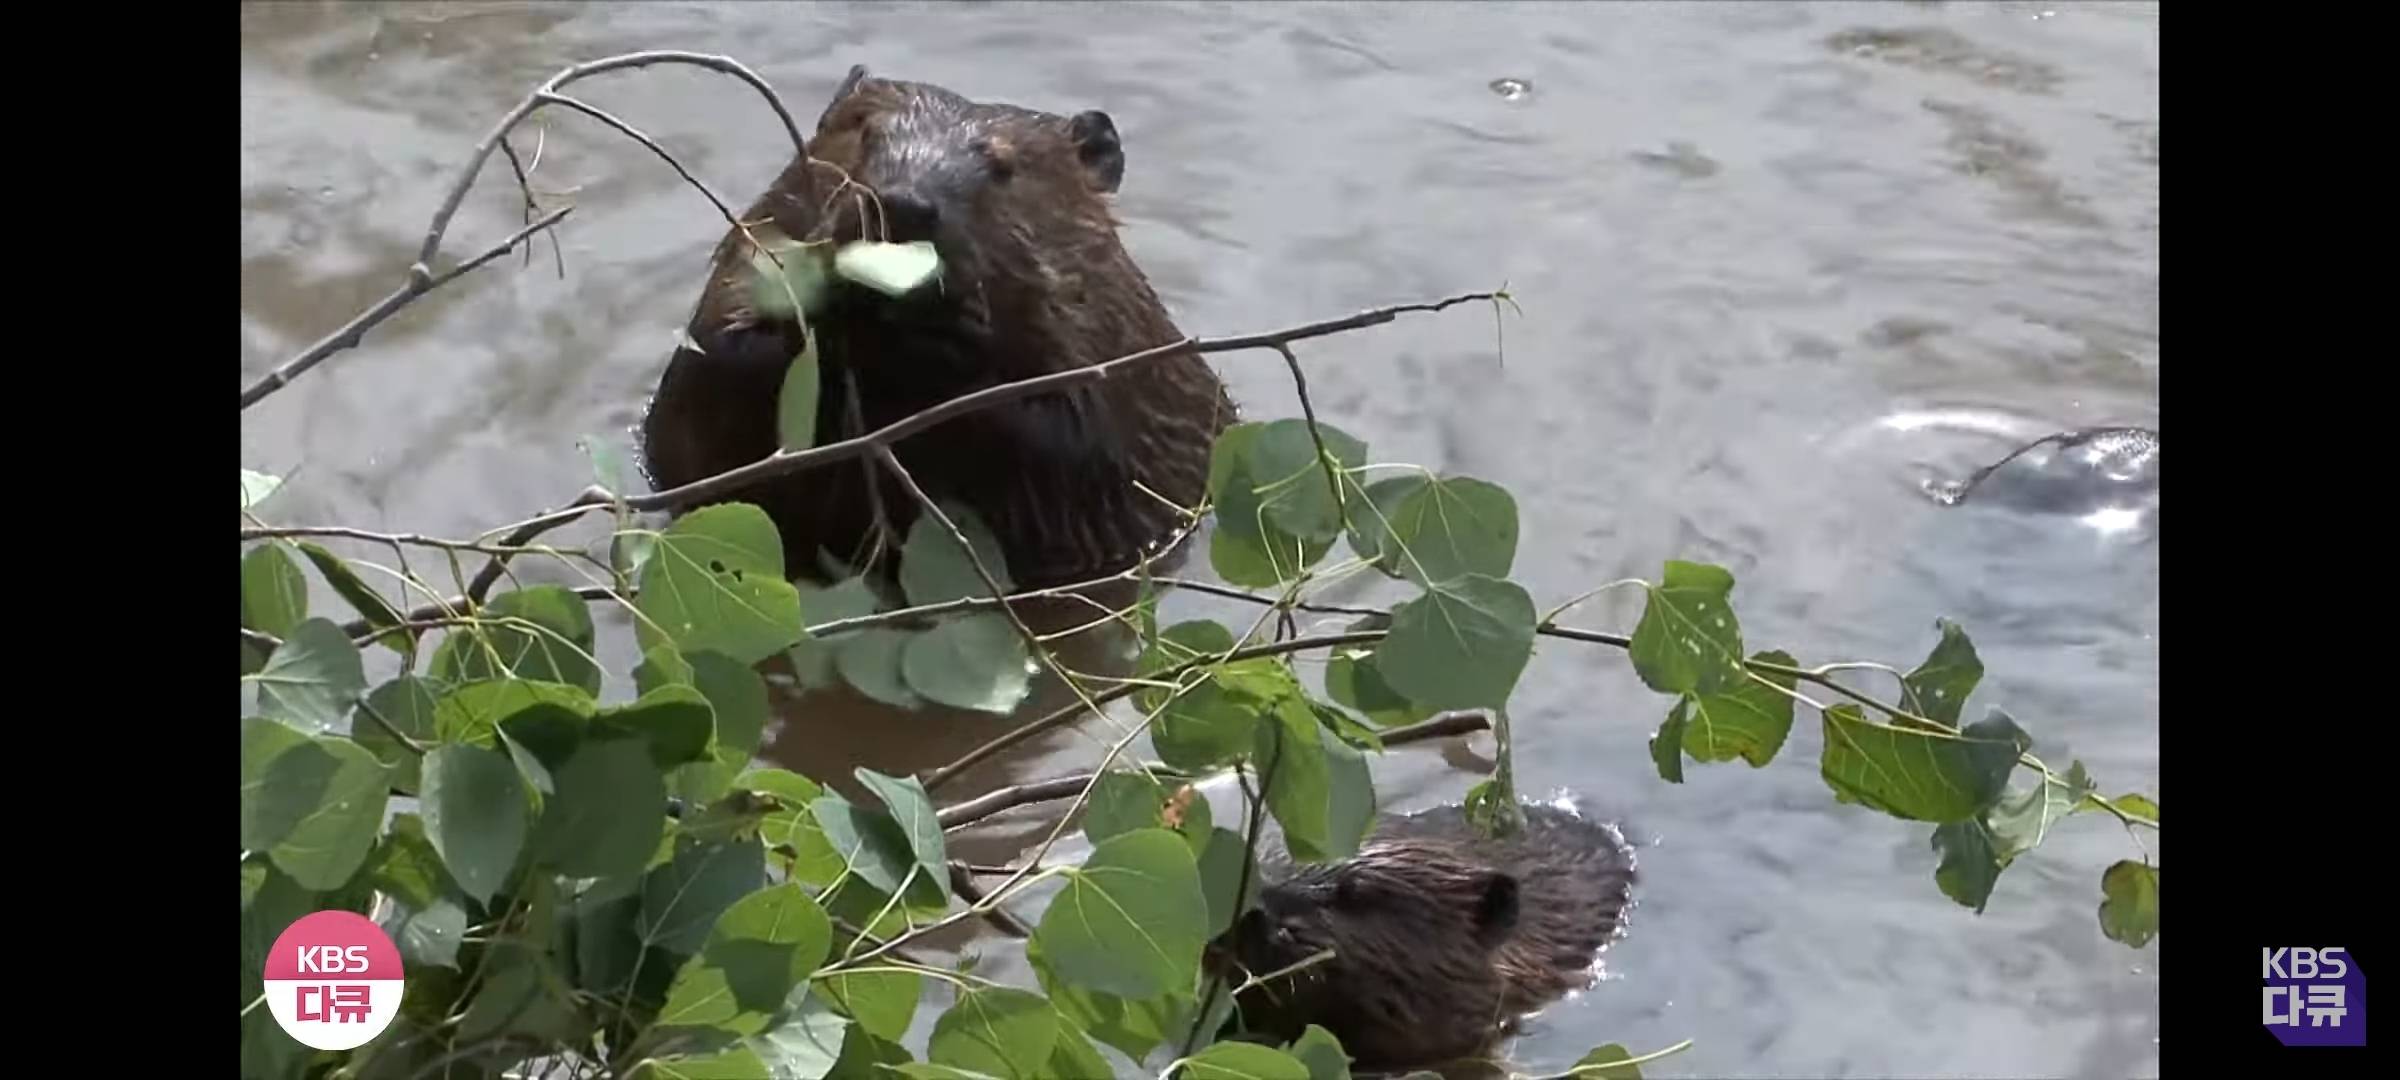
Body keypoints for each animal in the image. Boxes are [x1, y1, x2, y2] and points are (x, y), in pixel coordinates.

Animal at [638, 65, 1238, 590]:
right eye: (864, 132)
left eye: (1003, 166)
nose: (901, 205)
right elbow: (708, 370)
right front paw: (830, 312)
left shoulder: (1120, 335)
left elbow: (1083, 443)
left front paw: (950, 331)